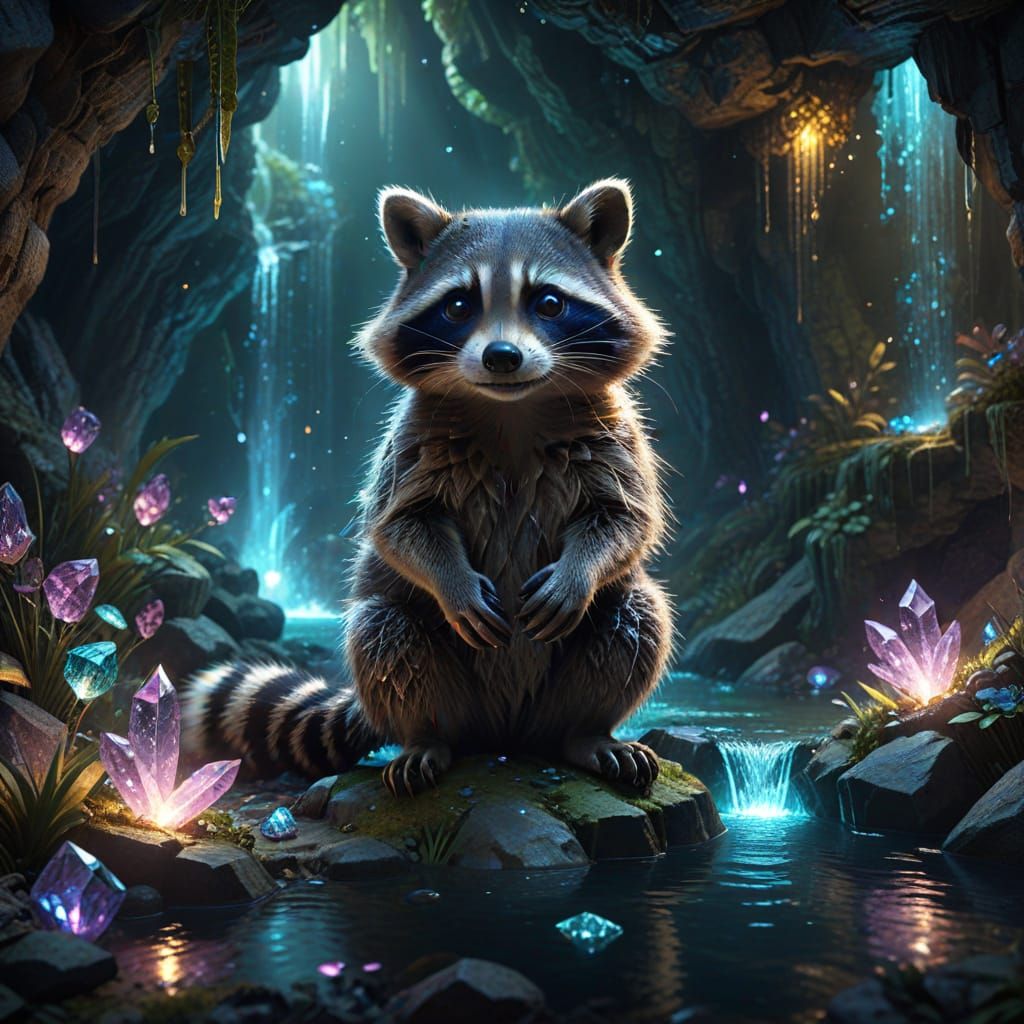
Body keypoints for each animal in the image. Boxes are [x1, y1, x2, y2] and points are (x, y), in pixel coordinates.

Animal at [183, 179, 672, 796]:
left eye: (550, 303)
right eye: (460, 305)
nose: (502, 357)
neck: (511, 409)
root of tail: (507, 738)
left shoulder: (613, 432)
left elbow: (626, 517)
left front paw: (579, 571)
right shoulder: (411, 441)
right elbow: (399, 525)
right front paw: (452, 582)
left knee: (637, 614)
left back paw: (587, 731)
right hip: (429, 674)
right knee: (384, 632)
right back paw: (426, 737)